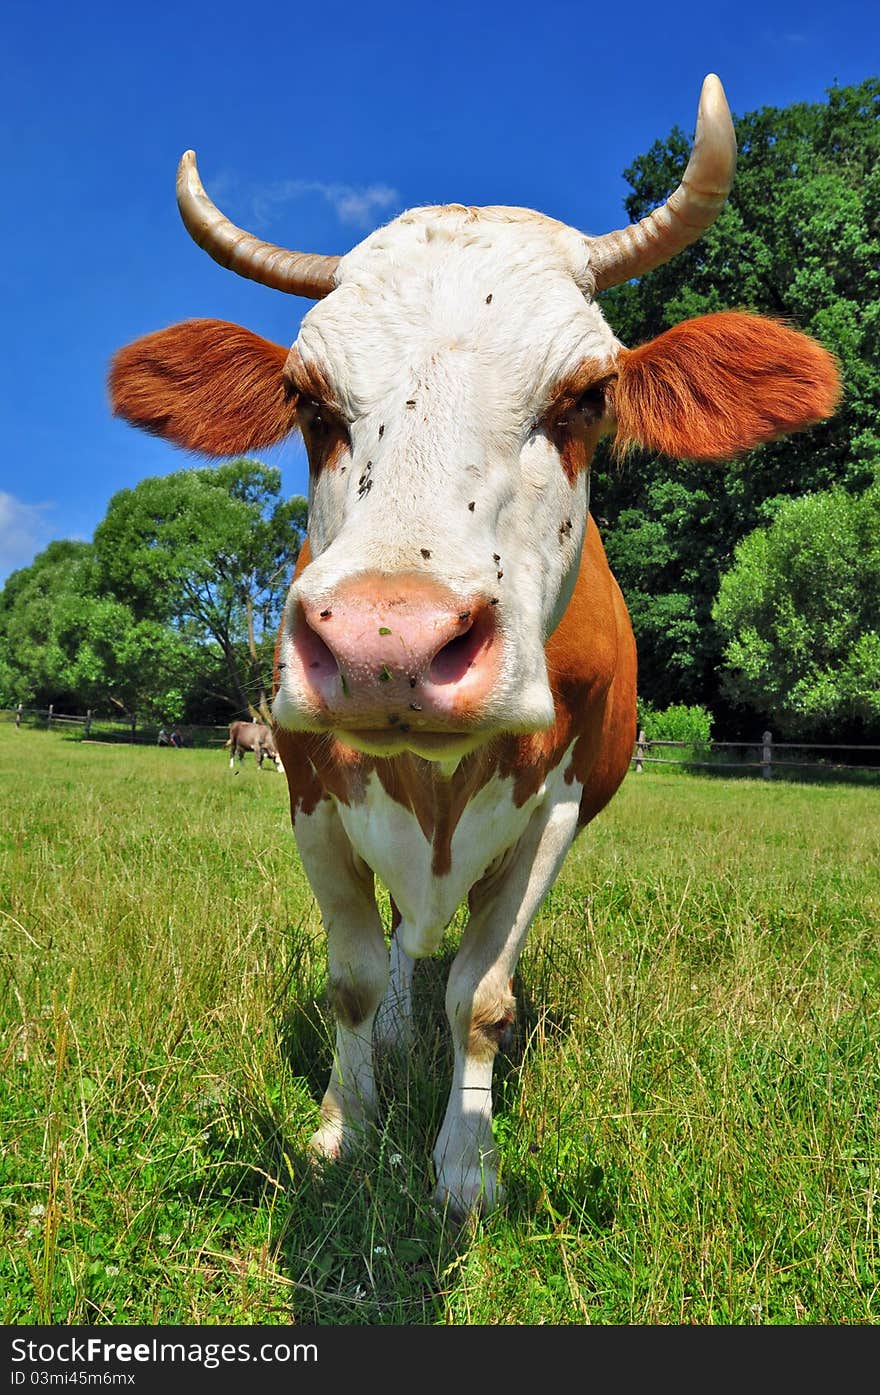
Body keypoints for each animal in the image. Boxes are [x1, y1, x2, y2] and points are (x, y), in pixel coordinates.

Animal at [110, 73, 842, 1222]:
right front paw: (345, 1124)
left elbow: (483, 995)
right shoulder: (307, 788)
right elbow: (356, 976)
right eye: (307, 400)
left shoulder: (557, 808)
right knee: (405, 946)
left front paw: (466, 1156)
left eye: (587, 395)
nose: (387, 642)